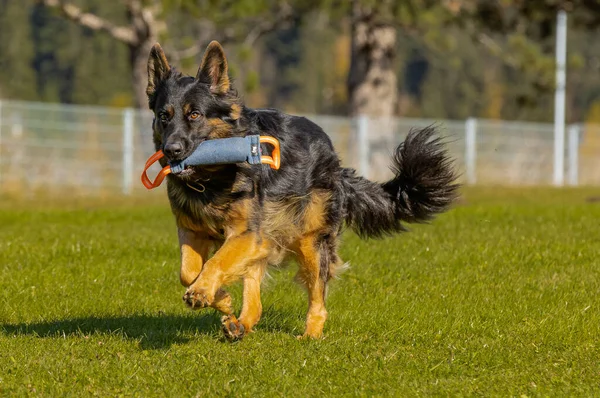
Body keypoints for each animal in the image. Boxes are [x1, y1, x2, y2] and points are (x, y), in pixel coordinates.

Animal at [145, 39, 460, 338]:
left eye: (194, 115)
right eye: (164, 116)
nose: (171, 151)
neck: (212, 178)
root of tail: (335, 161)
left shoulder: (247, 233)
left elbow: (214, 264)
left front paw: (204, 291)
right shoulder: (194, 231)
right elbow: (187, 272)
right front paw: (220, 298)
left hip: (310, 243)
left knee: (317, 299)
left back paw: (310, 335)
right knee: (255, 301)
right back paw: (240, 324)